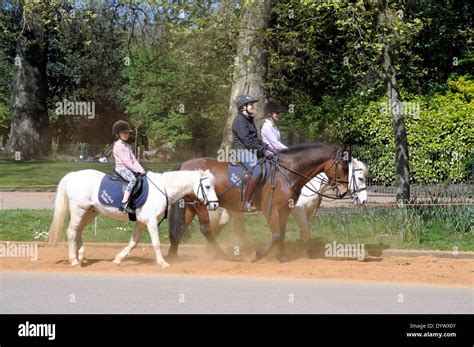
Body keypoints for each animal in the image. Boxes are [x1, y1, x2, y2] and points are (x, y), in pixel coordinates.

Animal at [46, 169, 218, 270]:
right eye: (207, 187)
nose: (215, 205)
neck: (162, 188)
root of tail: (72, 175)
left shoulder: (141, 222)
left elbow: (133, 243)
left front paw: (118, 259)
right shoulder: (151, 221)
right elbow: (156, 243)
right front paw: (163, 263)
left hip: (90, 212)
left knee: (78, 231)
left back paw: (80, 256)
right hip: (79, 210)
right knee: (71, 232)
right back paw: (74, 260)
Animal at [168, 143, 350, 262]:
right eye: (343, 167)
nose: (344, 191)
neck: (286, 173)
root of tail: (184, 165)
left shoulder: (285, 211)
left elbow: (282, 234)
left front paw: (281, 257)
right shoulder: (272, 210)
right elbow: (276, 235)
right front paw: (258, 255)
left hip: (191, 206)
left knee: (181, 228)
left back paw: (172, 256)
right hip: (200, 205)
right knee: (206, 229)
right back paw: (222, 256)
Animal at [206, 157, 366, 250]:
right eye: (360, 177)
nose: (364, 200)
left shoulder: (307, 213)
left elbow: (304, 234)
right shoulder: (297, 210)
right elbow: (305, 234)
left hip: (231, 209)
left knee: (219, 227)